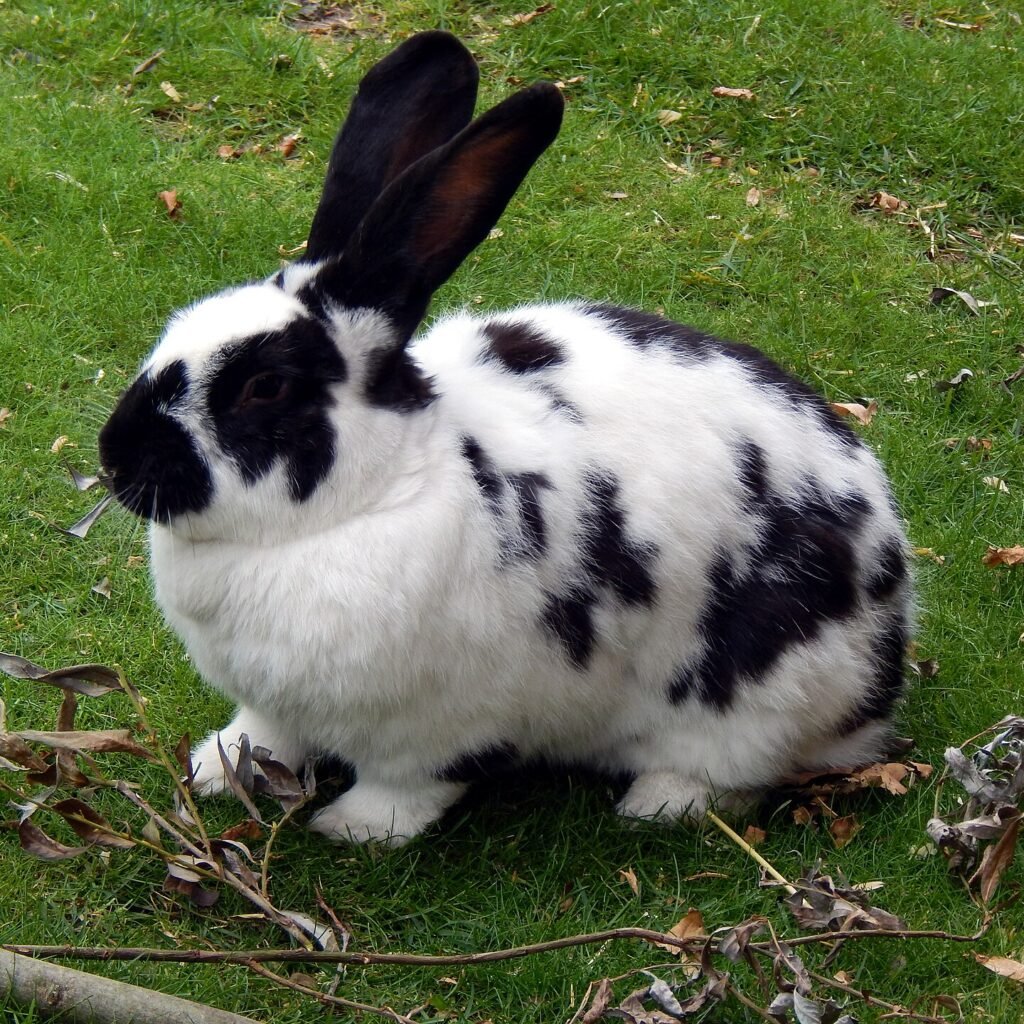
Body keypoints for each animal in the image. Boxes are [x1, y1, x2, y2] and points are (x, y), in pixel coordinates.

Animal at [98, 30, 912, 846]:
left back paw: (655, 803)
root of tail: (890, 636)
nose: (116, 459)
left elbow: (405, 788)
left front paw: (351, 828)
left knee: (731, 773)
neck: (361, 504)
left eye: (264, 388)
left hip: (755, 699)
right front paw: (218, 769)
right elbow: (263, 734)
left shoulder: (436, 730)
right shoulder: (274, 704)